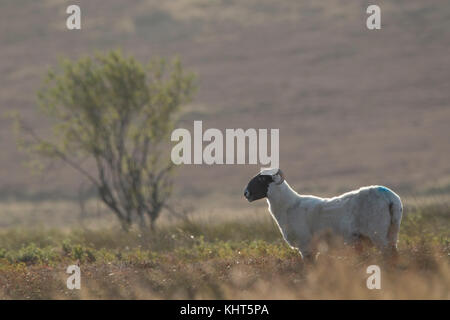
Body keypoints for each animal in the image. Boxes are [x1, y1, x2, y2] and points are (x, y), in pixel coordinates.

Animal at [244, 168, 402, 260]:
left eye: (261, 179)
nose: (246, 193)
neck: (289, 206)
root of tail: (390, 198)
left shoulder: (305, 247)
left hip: (378, 233)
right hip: (392, 232)